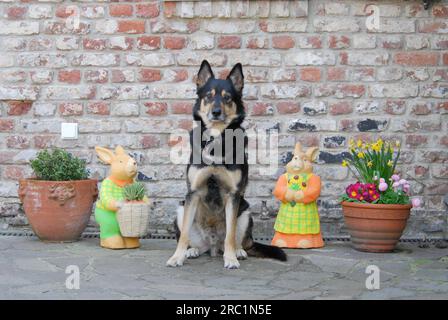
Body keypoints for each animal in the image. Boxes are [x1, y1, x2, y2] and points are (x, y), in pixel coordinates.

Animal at [165, 60, 288, 270]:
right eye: (208, 96)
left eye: (227, 98)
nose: (216, 112)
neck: (216, 140)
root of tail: (213, 246)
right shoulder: (193, 193)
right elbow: (183, 236)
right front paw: (177, 257)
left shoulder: (233, 195)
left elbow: (230, 234)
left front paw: (231, 259)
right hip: (182, 208)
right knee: (192, 239)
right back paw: (192, 250)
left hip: (245, 212)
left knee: (237, 240)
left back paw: (238, 251)